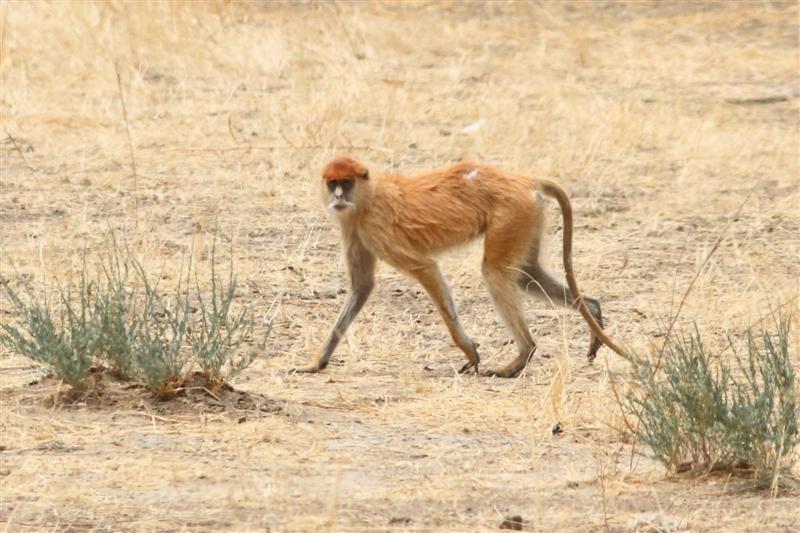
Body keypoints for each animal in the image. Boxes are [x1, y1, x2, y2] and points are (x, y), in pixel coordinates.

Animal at [296, 156, 632, 376]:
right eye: (333, 183)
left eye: (346, 182)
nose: (338, 196)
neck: (367, 197)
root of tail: (521, 179)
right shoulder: (353, 228)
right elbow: (362, 286)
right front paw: (318, 362)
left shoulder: (375, 227)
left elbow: (426, 269)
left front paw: (469, 349)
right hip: (527, 215)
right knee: (526, 276)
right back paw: (592, 310)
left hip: (512, 213)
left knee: (495, 273)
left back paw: (522, 355)